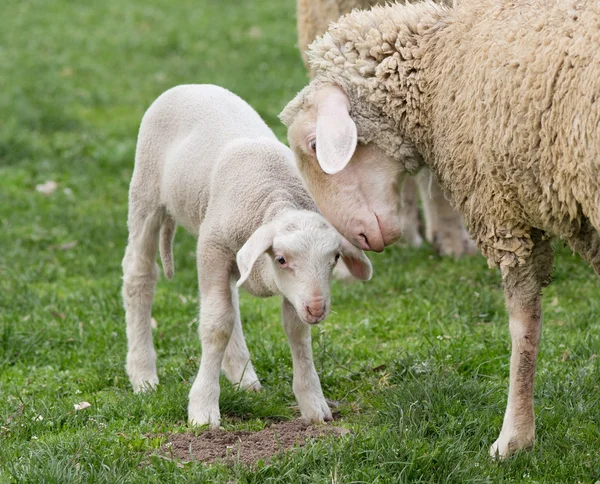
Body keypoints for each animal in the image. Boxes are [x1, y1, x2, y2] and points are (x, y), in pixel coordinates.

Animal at [123, 83, 372, 428]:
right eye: (281, 259)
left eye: (334, 259)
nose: (317, 309)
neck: (275, 197)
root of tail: (191, 85)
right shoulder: (212, 248)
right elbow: (216, 325)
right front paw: (203, 409)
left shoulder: (290, 290)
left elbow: (297, 333)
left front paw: (313, 403)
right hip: (146, 192)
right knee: (140, 274)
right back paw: (143, 375)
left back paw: (242, 376)